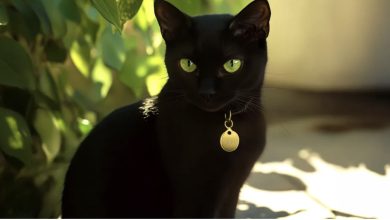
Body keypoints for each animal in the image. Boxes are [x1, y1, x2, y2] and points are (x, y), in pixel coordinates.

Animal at [62, 0, 272, 217]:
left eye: (232, 64)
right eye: (188, 64)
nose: (207, 93)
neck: (226, 125)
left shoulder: (232, 191)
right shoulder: (194, 196)